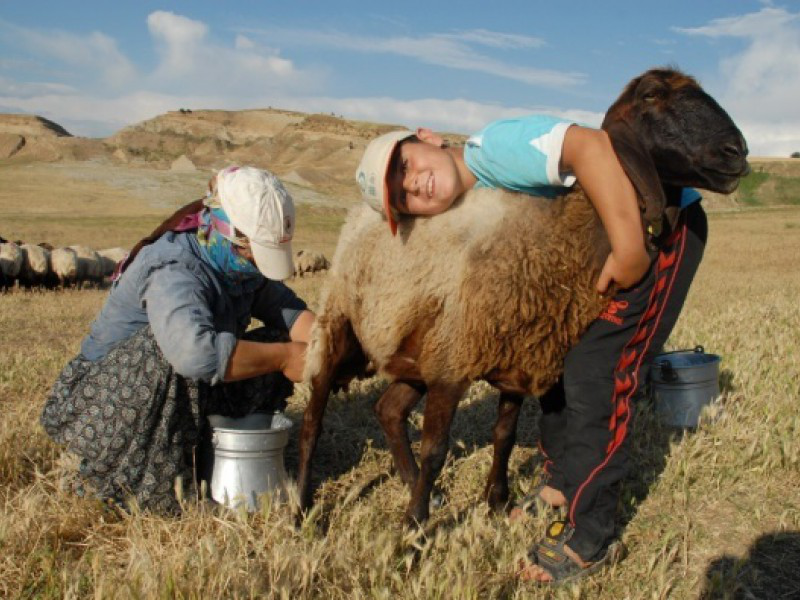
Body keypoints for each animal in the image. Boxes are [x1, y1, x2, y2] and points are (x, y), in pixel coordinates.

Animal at [294, 69, 752, 524]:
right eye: (652, 95)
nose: (738, 152)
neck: (556, 233)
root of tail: (357, 216)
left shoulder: (516, 357)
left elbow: (505, 435)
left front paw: (496, 501)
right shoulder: (454, 364)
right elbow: (436, 450)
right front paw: (416, 528)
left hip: (416, 355)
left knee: (388, 410)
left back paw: (412, 486)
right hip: (338, 331)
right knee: (314, 421)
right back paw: (302, 509)